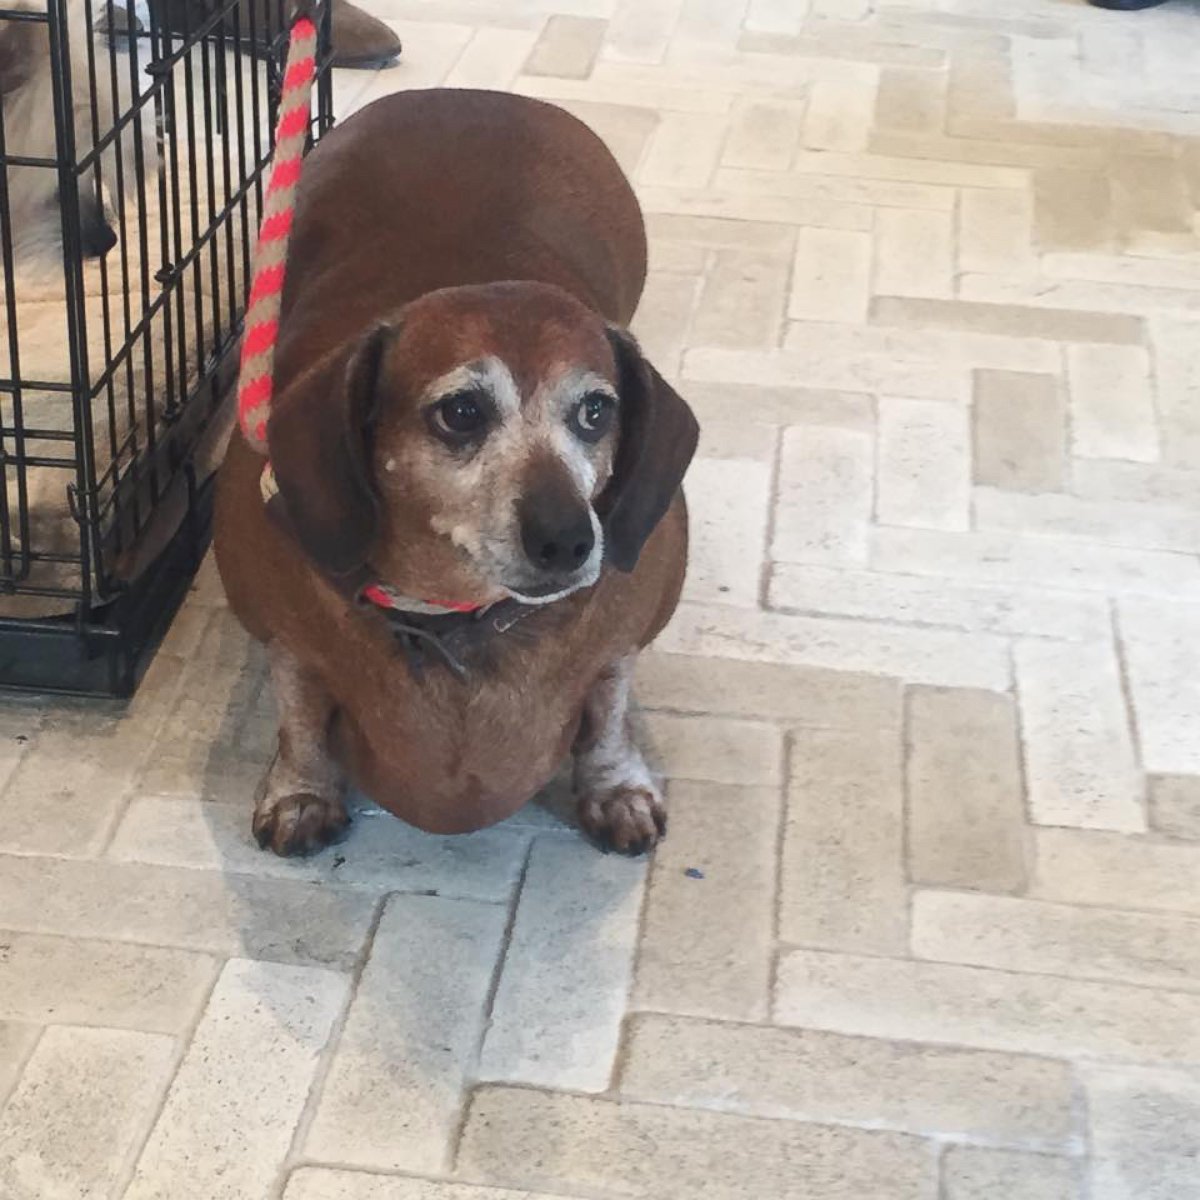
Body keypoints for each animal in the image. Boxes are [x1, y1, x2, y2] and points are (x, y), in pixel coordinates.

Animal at [218, 88, 696, 859]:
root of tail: (476, 95)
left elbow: (611, 702)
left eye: (596, 410)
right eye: (462, 411)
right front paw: (300, 791)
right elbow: (297, 706)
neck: (454, 615)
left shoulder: (621, 639)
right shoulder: (284, 636)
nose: (569, 540)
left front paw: (616, 787)